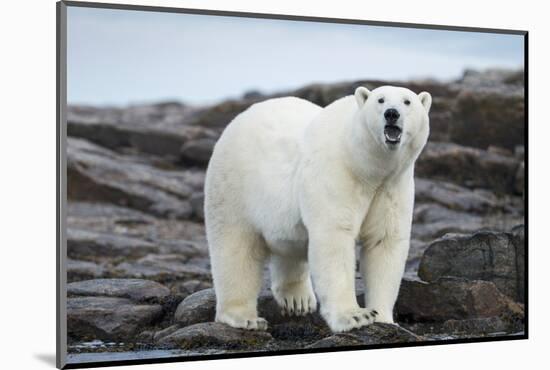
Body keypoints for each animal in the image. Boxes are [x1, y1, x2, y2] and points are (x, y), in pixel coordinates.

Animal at [205, 86, 434, 332]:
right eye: (380, 100)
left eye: (407, 101)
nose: (392, 113)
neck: (364, 165)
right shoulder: (336, 174)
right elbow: (334, 238)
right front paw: (355, 316)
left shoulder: (392, 187)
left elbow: (384, 241)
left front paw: (383, 318)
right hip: (234, 187)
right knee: (235, 248)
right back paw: (244, 317)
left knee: (289, 246)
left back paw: (297, 299)